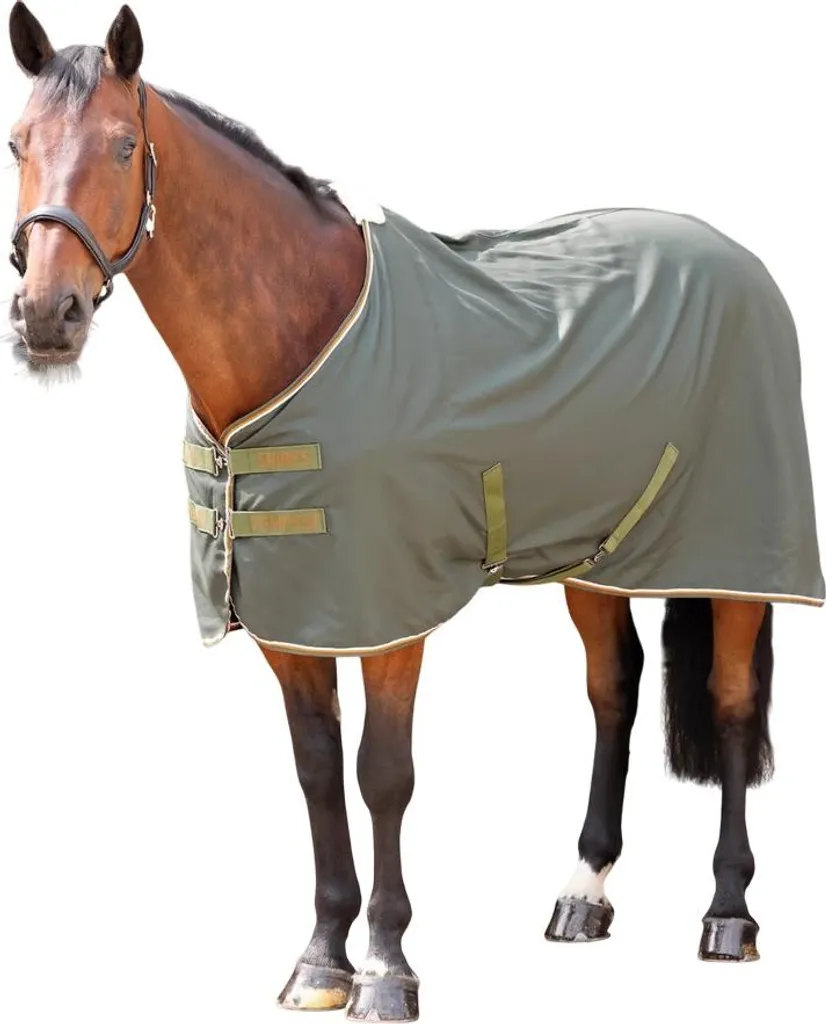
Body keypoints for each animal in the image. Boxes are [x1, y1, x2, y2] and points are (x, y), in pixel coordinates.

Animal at [6, 4, 823, 1020]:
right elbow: (318, 774)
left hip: (734, 549)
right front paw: (322, 959)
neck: (301, 333)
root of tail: (740, 258)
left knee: (732, 701)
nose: (47, 316)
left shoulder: (389, 617)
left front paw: (388, 968)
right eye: (17, 144)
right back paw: (583, 893)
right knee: (616, 688)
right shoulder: (294, 619)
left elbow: (382, 776)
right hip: (600, 555)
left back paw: (728, 914)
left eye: (123, 145)